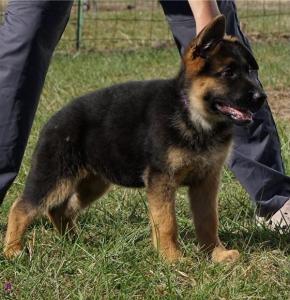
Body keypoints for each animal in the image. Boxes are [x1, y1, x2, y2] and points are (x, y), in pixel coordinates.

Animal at [3, 15, 266, 262]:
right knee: (22, 207)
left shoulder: (206, 181)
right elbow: (167, 222)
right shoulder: (162, 180)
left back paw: (74, 241)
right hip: (54, 178)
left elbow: (208, 220)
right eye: (228, 73)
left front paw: (216, 254)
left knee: (59, 210)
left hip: (93, 183)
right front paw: (172, 258)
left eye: (250, 71)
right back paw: (12, 249)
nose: (261, 98)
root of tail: (53, 119)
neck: (191, 113)